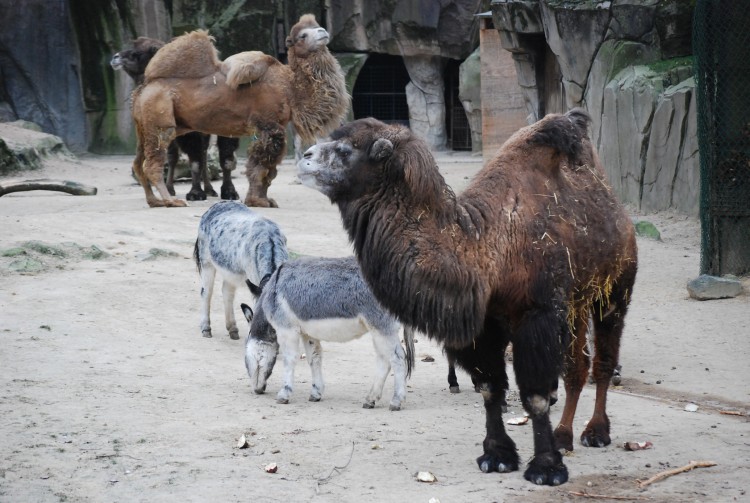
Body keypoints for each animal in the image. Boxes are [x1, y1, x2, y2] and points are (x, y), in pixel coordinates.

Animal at [111, 36, 241, 202]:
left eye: (137, 53)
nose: (115, 57)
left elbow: (225, 159)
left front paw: (229, 191)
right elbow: (195, 161)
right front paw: (196, 193)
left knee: (202, 154)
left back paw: (209, 189)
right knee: (177, 156)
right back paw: (171, 188)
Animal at [130, 13, 352, 208]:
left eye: (316, 26)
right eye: (303, 35)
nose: (323, 31)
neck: (290, 87)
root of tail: (143, 89)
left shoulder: (273, 128)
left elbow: (269, 170)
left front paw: (264, 200)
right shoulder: (269, 126)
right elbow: (261, 165)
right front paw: (257, 201)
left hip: (144, 128)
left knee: (138, 163)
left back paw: (154, 201)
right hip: (160, 120)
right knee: (152, 163)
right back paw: (171, 200)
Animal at [296, 111, 636, 488]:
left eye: (345, 150)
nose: (304, 158)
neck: (486, 249)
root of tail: (618, 212)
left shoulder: (538, 315)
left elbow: (534, 395)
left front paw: (546, 468)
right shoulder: (484, 325)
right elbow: (489, 388)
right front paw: (497, 456)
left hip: (615, 289)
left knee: (604, 359)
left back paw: (596, 432)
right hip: (575, 303)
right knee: (577, 366)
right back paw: (564, 435)